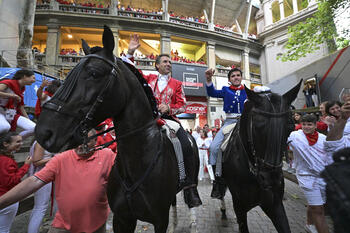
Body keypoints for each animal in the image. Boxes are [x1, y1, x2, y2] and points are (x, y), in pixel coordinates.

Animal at [36, 26, 200, 233]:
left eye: (94, 73)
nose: (44, 131)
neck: (136, 163)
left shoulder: (159, 219)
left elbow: (180, 102)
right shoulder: (122, 218)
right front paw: (131, 48)